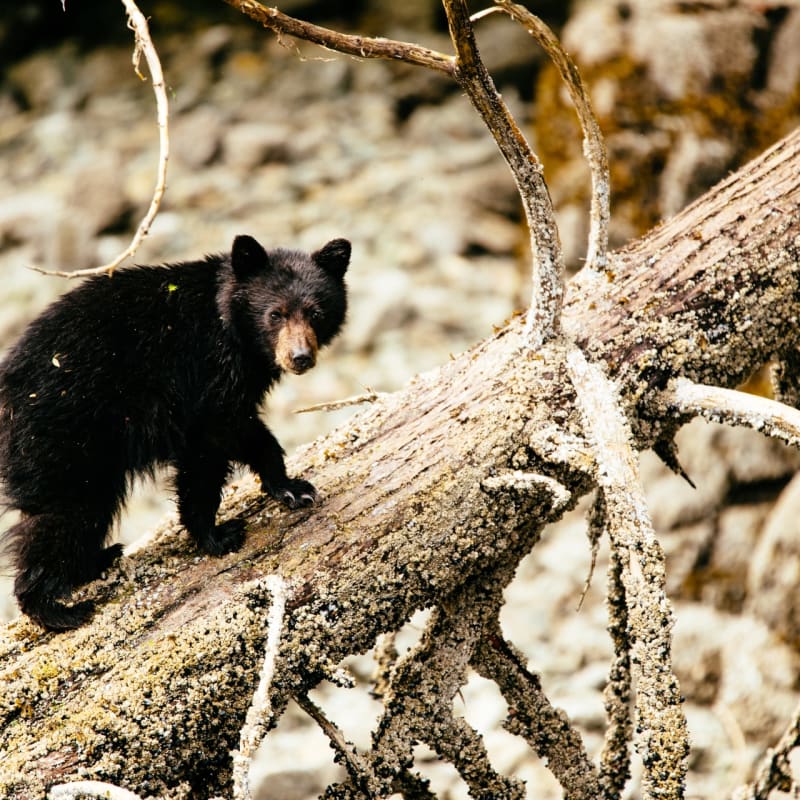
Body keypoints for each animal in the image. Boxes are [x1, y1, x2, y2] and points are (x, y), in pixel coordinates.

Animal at [0, 234, 350, 631]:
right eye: (275, 314)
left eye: (316, 313)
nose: (300, 357)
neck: (230, 327)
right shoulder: (204, 374)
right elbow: (215, 447)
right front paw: (219, 534)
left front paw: (290, 489)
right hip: (65, 437)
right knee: (66, 516)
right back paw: (56, 609)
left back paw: (97, 560)